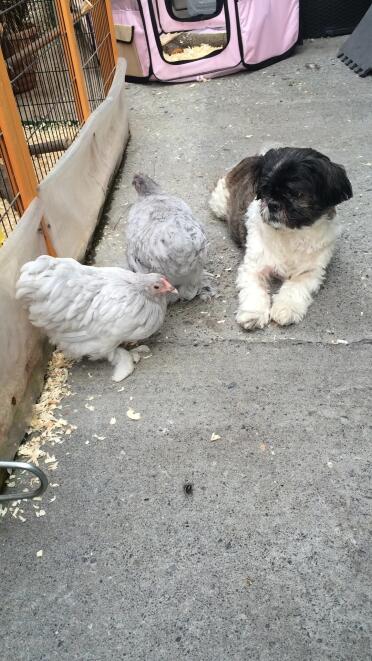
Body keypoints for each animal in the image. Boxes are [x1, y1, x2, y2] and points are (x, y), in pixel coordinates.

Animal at [209, 147, 352, 328]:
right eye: (264, 190)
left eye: (295, 193)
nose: (272, 204)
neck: (291, 234)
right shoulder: (253, 267)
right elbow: (254, 289)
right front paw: (253, 313)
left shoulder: (312, 271)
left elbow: (295, 287)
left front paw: (286, 308)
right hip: (219, 203)